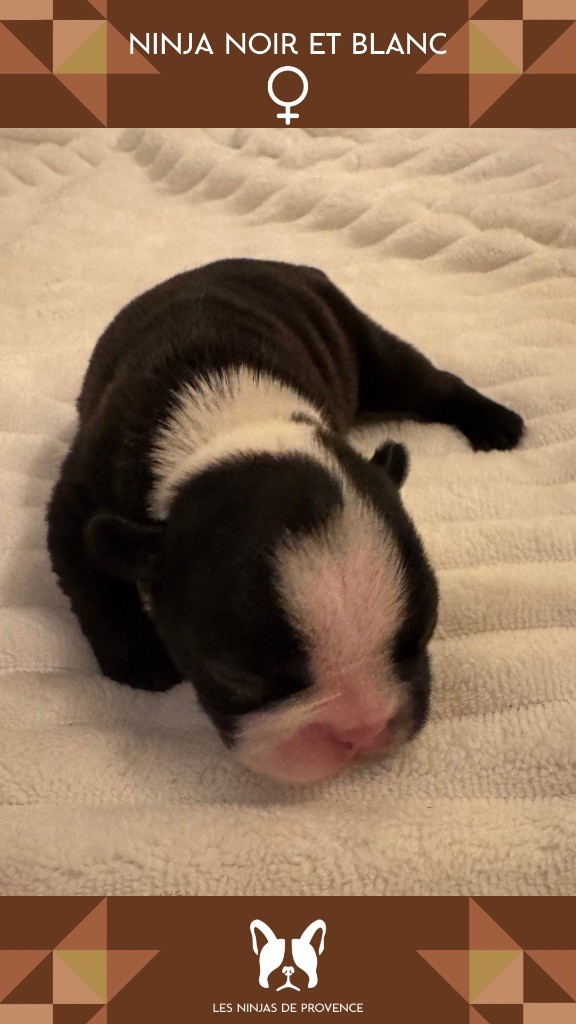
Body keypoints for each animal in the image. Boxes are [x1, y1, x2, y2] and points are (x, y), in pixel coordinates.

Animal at [46, 258, 524, 783]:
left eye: (425, 633)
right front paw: (139, 658)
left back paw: (495, 422)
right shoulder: (78, 496)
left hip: (362, 341)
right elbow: (92, 576)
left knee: (427, 382)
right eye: (234, 677)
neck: (234, 424)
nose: (361, 730)